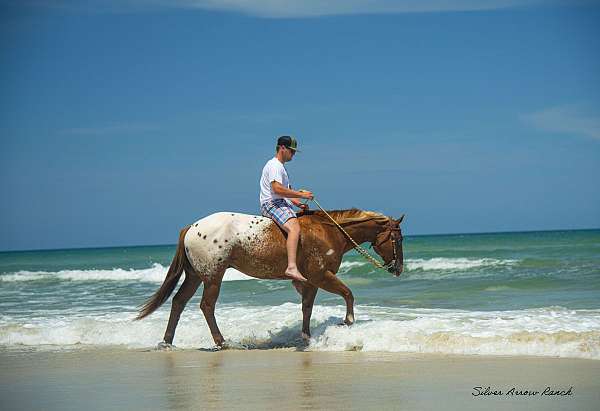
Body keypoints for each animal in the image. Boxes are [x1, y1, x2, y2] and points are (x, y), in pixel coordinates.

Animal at [137, 209, 406, 348]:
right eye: (398, 238)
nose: (399, 269)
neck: (329, 231)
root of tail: (191, 227)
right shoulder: (321, 276)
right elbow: (348, 293)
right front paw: (348, 321)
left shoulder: (311, 281)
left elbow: (307, 308)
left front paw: (306, 337)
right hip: (213, 276)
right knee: (207, 306)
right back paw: (221, 342)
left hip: (195, 276)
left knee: (178, 302)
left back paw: (167, 341)